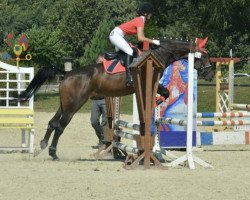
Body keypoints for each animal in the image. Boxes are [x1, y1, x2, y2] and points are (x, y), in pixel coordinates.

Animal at [18, 37, 213, 160]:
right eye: (204, 55)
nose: (210, 75)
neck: (158, 54)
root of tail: (66, 74)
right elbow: (165, 93)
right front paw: (155, 102)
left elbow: (165, 93)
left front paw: (155, 103)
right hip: (74, 105)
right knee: (59, 126)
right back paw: (52, 153)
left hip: (64, 104)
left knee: (52, 123)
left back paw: (42, 146)